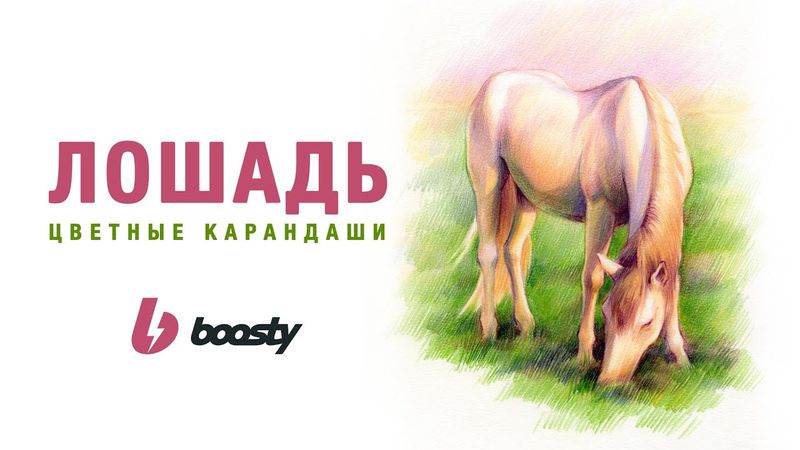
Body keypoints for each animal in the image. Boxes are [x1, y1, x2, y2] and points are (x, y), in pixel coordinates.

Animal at [461, 70, 692, 385]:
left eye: (648, 322)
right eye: (606, 313)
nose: (609, 382)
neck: (636, 131)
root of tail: (493, 83)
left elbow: (673, 283)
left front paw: (680, 357)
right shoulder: (600, 211)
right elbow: (592, 277)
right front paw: (584, 354)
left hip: (526, 196)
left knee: (512, 250)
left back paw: (526, 325)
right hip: (488, 183)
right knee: (489, 253)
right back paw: (489, 330)